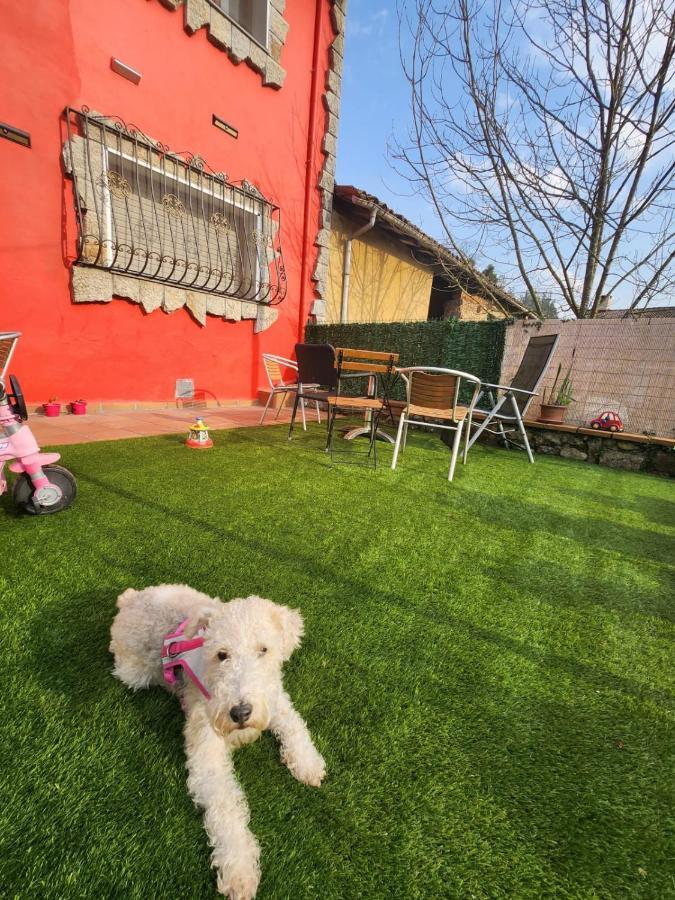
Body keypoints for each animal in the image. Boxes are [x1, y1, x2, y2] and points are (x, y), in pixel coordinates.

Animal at [109, 584, 326, 900]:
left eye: (264, 650)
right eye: (222, 654)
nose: (240, 713)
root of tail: (131, 598)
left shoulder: (274, 697)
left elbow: (295, 725)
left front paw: (308, 764)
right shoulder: (206, 754)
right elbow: (225, 808)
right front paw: (240, 872)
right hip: (133, 673)